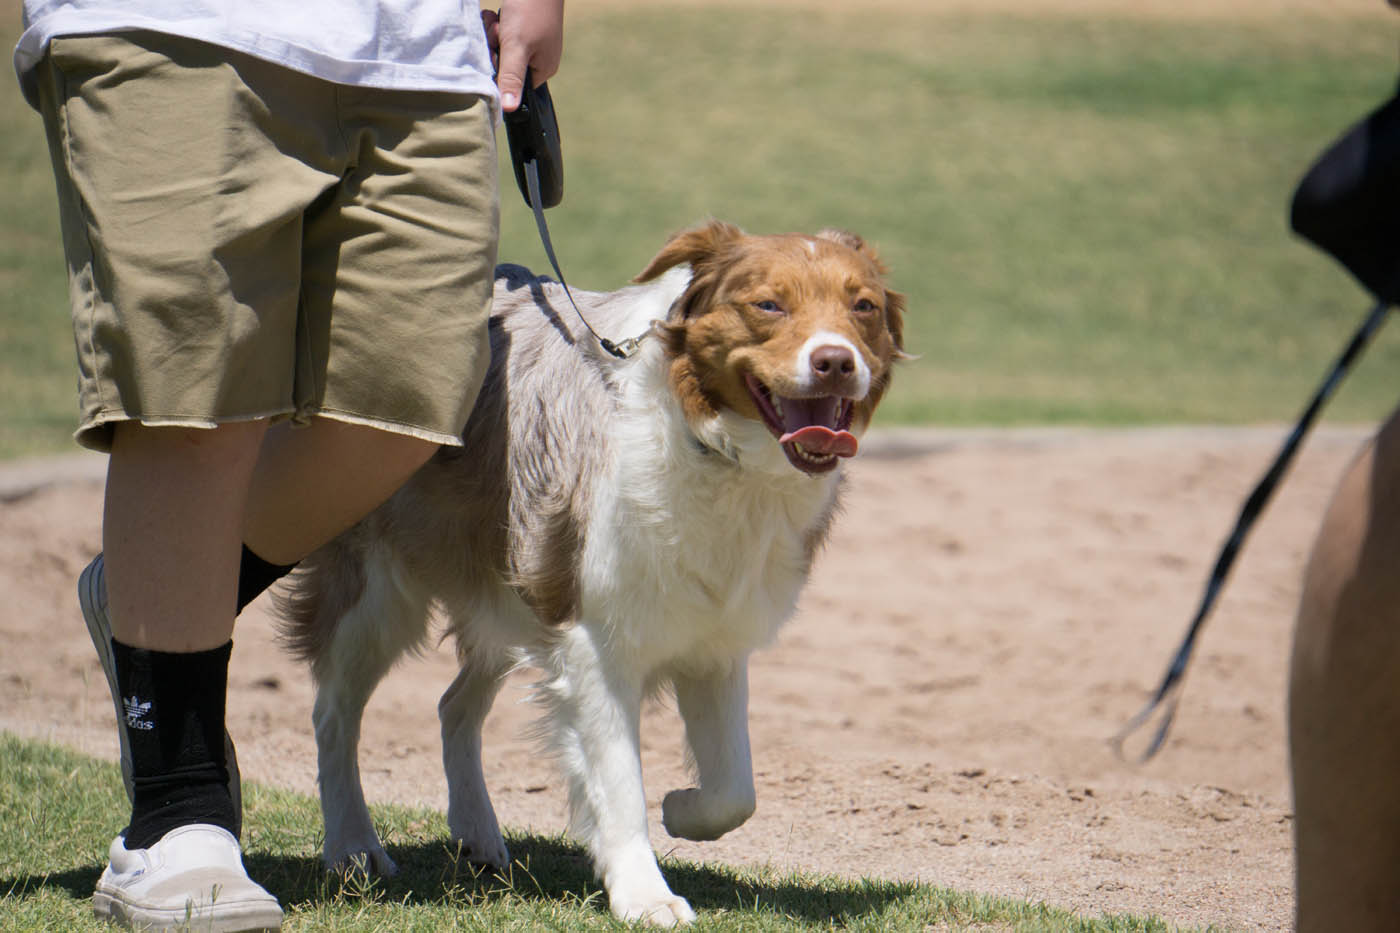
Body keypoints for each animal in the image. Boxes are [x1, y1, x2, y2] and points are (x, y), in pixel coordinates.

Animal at [278, 219, 907, 924]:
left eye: (863, 308)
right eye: (769, 304)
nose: (836, 362)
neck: (711, 448)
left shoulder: (714, 638)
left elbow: (734, 789)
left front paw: (683, 810)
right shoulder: (593, 638)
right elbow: (620, 780)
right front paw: (645, 895)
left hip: (515, 587)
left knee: (453, 705)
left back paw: (477, 835)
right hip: (381, 593)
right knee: (334, 714)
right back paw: (353, 847)